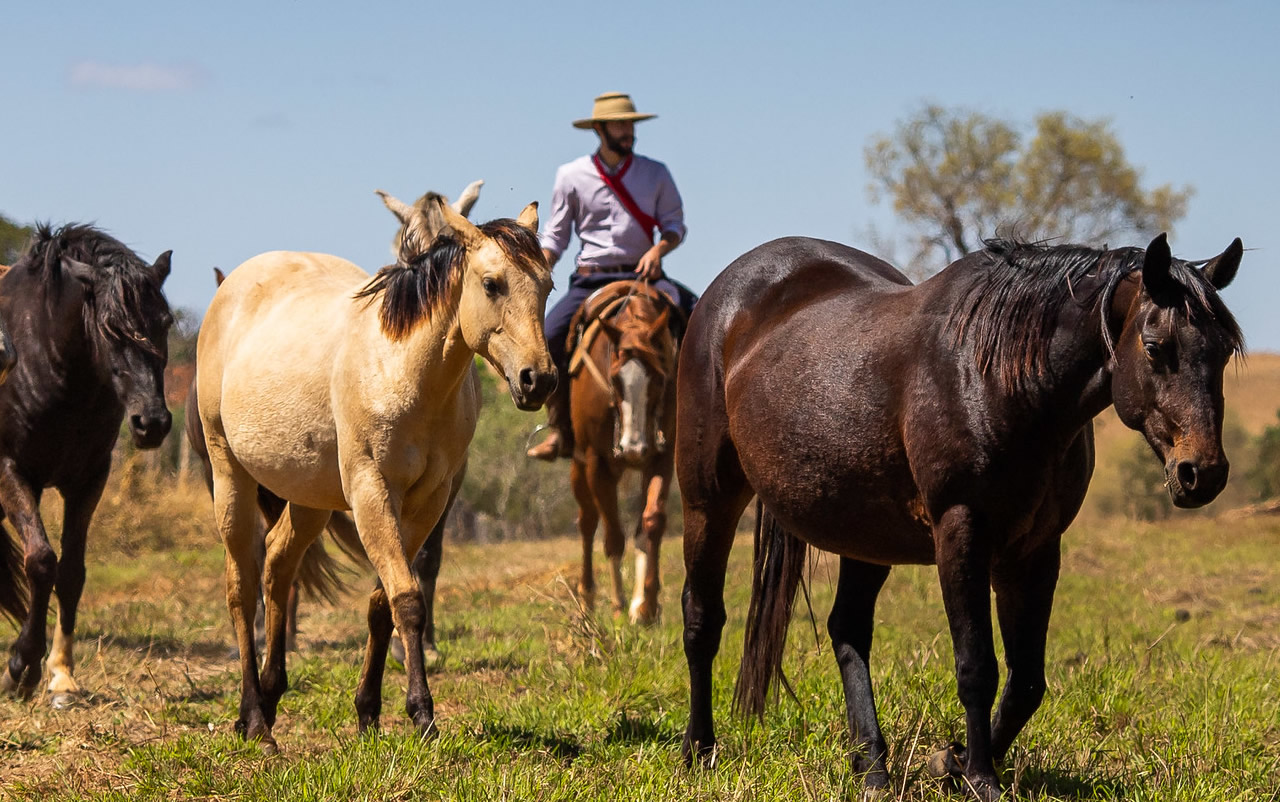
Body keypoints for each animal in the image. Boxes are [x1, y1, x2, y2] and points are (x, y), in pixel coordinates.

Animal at [0, 222, 172, 706]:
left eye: (166, 322)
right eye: (110, 327)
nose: (152, 422)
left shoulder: (88, 480)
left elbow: (72, 572)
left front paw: (60, 675)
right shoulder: (12, 471)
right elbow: (41, 561)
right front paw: (20, 669)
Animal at [197, 195, 552, 752]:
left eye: (548, 285)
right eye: (492, 283)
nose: (539, 379)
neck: (404, 369)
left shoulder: (428, 501)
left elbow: (383, 603)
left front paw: (368, 713)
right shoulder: (372, 491)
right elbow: (407, 599)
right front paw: (422, 715)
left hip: (310, 497)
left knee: (278, 565)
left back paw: (270, 701)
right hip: (228, 472)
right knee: (242, 584)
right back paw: (255, 720)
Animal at [565, 278, 680, 624]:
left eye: (660, 378)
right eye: (614, 378)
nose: (633, 448)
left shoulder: (661, 456)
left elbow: (651, 523)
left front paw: (645, 607)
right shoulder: (596, 462)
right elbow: (613, 537)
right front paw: (618, 607)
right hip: (579, 467)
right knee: (588, 522)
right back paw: (587, 599)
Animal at [675, 230, 1244, 798]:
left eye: (1221, 352)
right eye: (1155, 347)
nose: (1203, 473)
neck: (1001, 381)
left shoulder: (1034, 552)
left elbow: (1026, 682)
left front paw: (949, 760)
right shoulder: (962, 532)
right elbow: (977, 668)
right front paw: (979, 777)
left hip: (868, 535)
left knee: (848, 631)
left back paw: (873, 768)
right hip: (708, 500)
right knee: (702, 618)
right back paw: (699, 752)